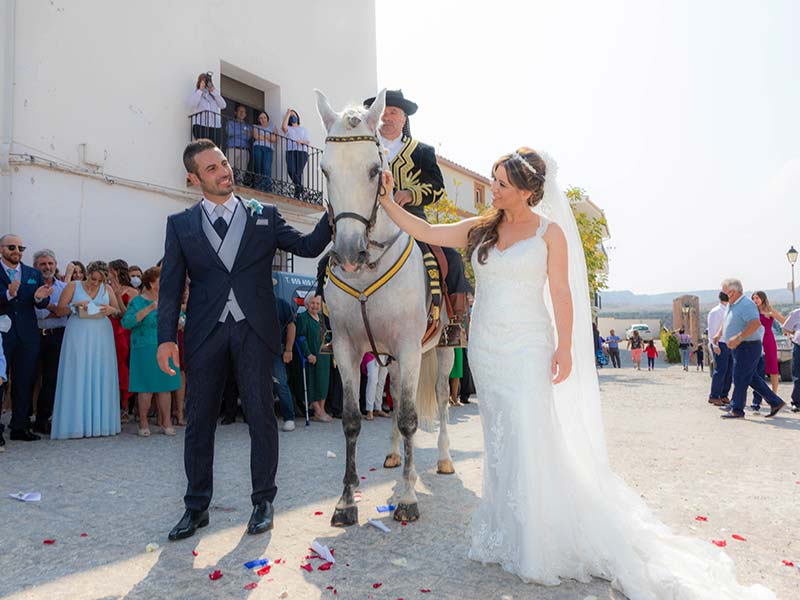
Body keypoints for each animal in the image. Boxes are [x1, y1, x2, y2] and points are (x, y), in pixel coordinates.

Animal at [318, 89, 456, 524]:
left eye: (374, 170)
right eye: (325, 170)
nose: (348, 253)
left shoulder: (410, 346)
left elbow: (410, 416)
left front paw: (408, 499)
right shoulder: (346, 348)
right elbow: (351, 420)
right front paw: (346, 502)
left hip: (443, 349)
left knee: (441, 399)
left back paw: (444, 460)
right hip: (391, 358)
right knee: (392, 395)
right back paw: (395, 457)